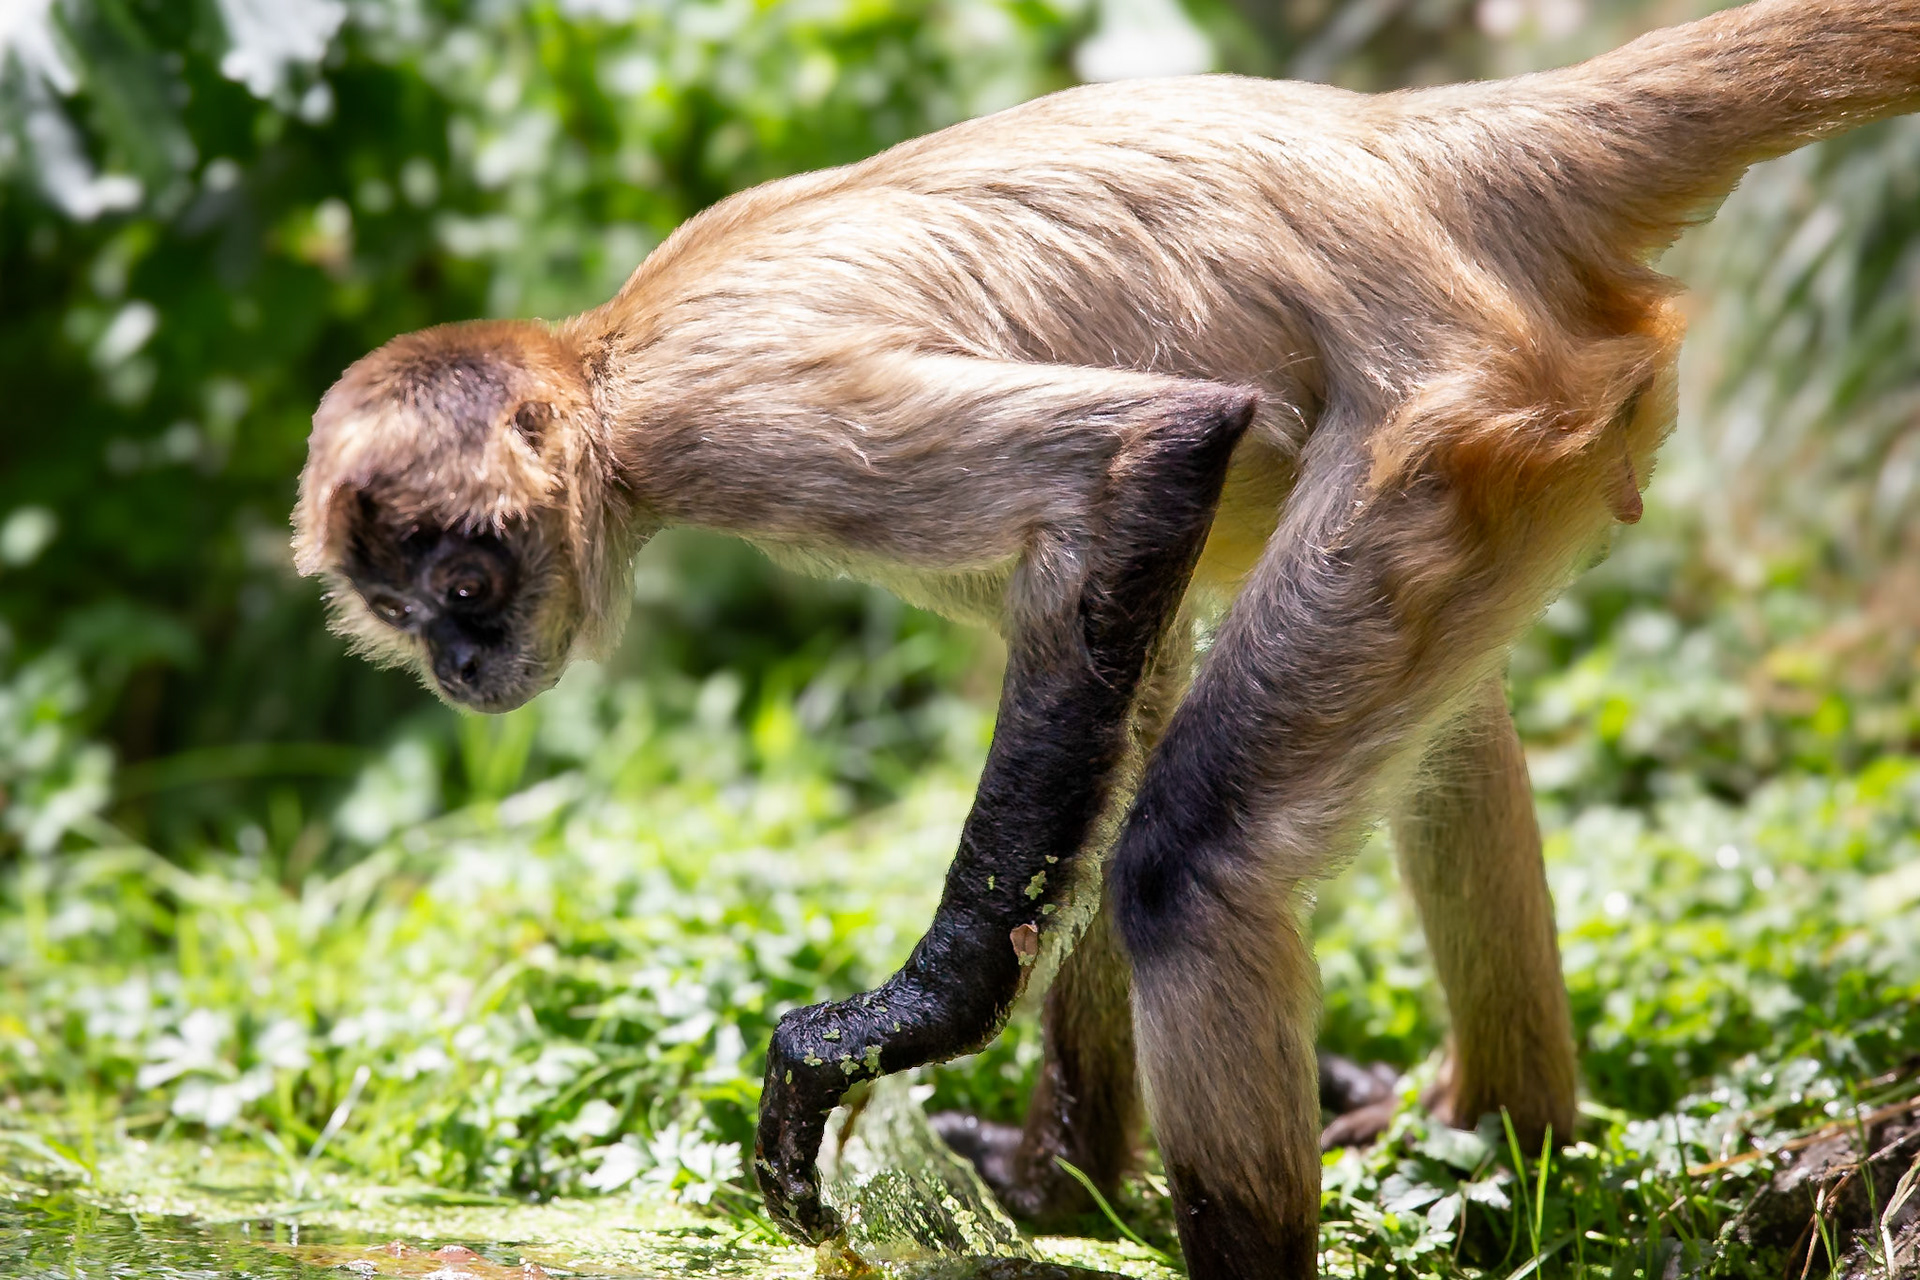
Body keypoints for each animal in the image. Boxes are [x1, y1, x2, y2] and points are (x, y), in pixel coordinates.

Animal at [292, 3, 1920, 1275]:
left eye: (465, 583)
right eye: (404, 615)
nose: (459, 669)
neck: (611, 353)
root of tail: (1451, 147)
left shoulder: (716, 413)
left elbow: (1142, 457)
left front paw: (891, 1029)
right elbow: (1121, 676)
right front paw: (1053, 1185)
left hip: (1465, 428)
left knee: (1184, 858)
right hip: (1502, 479)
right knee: (1424, 735)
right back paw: (1503, 1137)